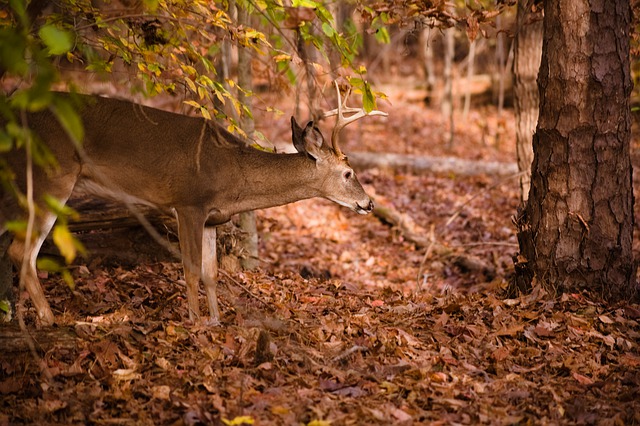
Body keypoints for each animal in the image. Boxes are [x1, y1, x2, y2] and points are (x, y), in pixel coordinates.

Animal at [0, 82, 388, 326]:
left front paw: (215, 321)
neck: (234, 175)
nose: (369, 204)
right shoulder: (188, 203)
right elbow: (188, 269)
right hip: (52, 176)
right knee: (22, 251)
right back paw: (50, 320)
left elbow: (211, 273)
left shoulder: (213, 218)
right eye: (349, 173)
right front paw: (196, 322)